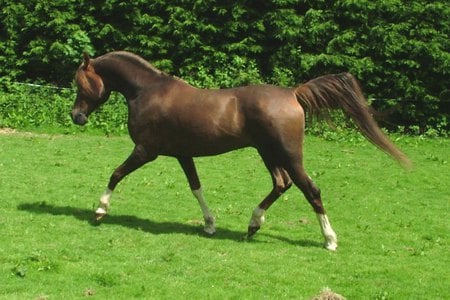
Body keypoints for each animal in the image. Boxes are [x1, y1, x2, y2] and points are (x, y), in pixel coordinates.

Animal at [70, 50, 412, 250]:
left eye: (80, 82)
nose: (76, 116)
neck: (148, 91)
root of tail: (293, 93)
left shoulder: (146, 150)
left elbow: (115, 174)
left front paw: (100, 210)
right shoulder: (183, 154)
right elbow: (196, 187)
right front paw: (209, 224)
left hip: (288, 154)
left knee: (310, 189)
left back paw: (329, 239)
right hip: (268, 152)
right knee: (281, 184)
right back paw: (252, 225)